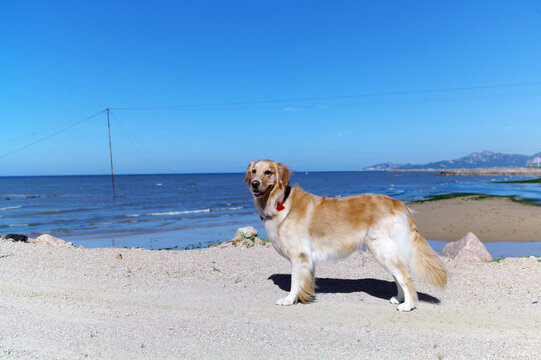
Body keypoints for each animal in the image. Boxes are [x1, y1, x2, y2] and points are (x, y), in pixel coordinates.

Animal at [245, 159, 448, 310]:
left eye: (268, 172)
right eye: (254, 171)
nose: (254, 183)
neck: (281, 202)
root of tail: (400, 203)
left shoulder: (299, 256)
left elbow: (295, 282)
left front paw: (289, 299)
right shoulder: (307, 260)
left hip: (381, 248)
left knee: (405, 276)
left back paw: (408, 304)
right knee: (398, 276)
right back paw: (399, 298)